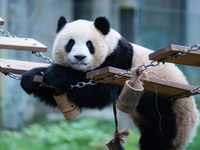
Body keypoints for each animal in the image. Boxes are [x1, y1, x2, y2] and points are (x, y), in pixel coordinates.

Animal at [20, 16, 198, 150]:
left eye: (89, 44)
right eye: (70, 43)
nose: (79, 57)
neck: (111, 42)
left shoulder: (118, 61)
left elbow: (100, 93)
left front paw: (56, 74)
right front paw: (31, 78)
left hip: (171, 111)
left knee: (160, 136)